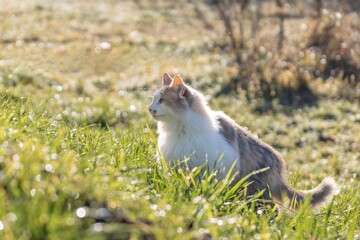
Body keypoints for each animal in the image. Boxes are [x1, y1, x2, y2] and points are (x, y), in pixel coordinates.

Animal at [148, 72, 338, 208]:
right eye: (153, 99)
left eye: (162, 100)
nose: (150, 108)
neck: (179, 131)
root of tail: (278, 163)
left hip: (256, 192)